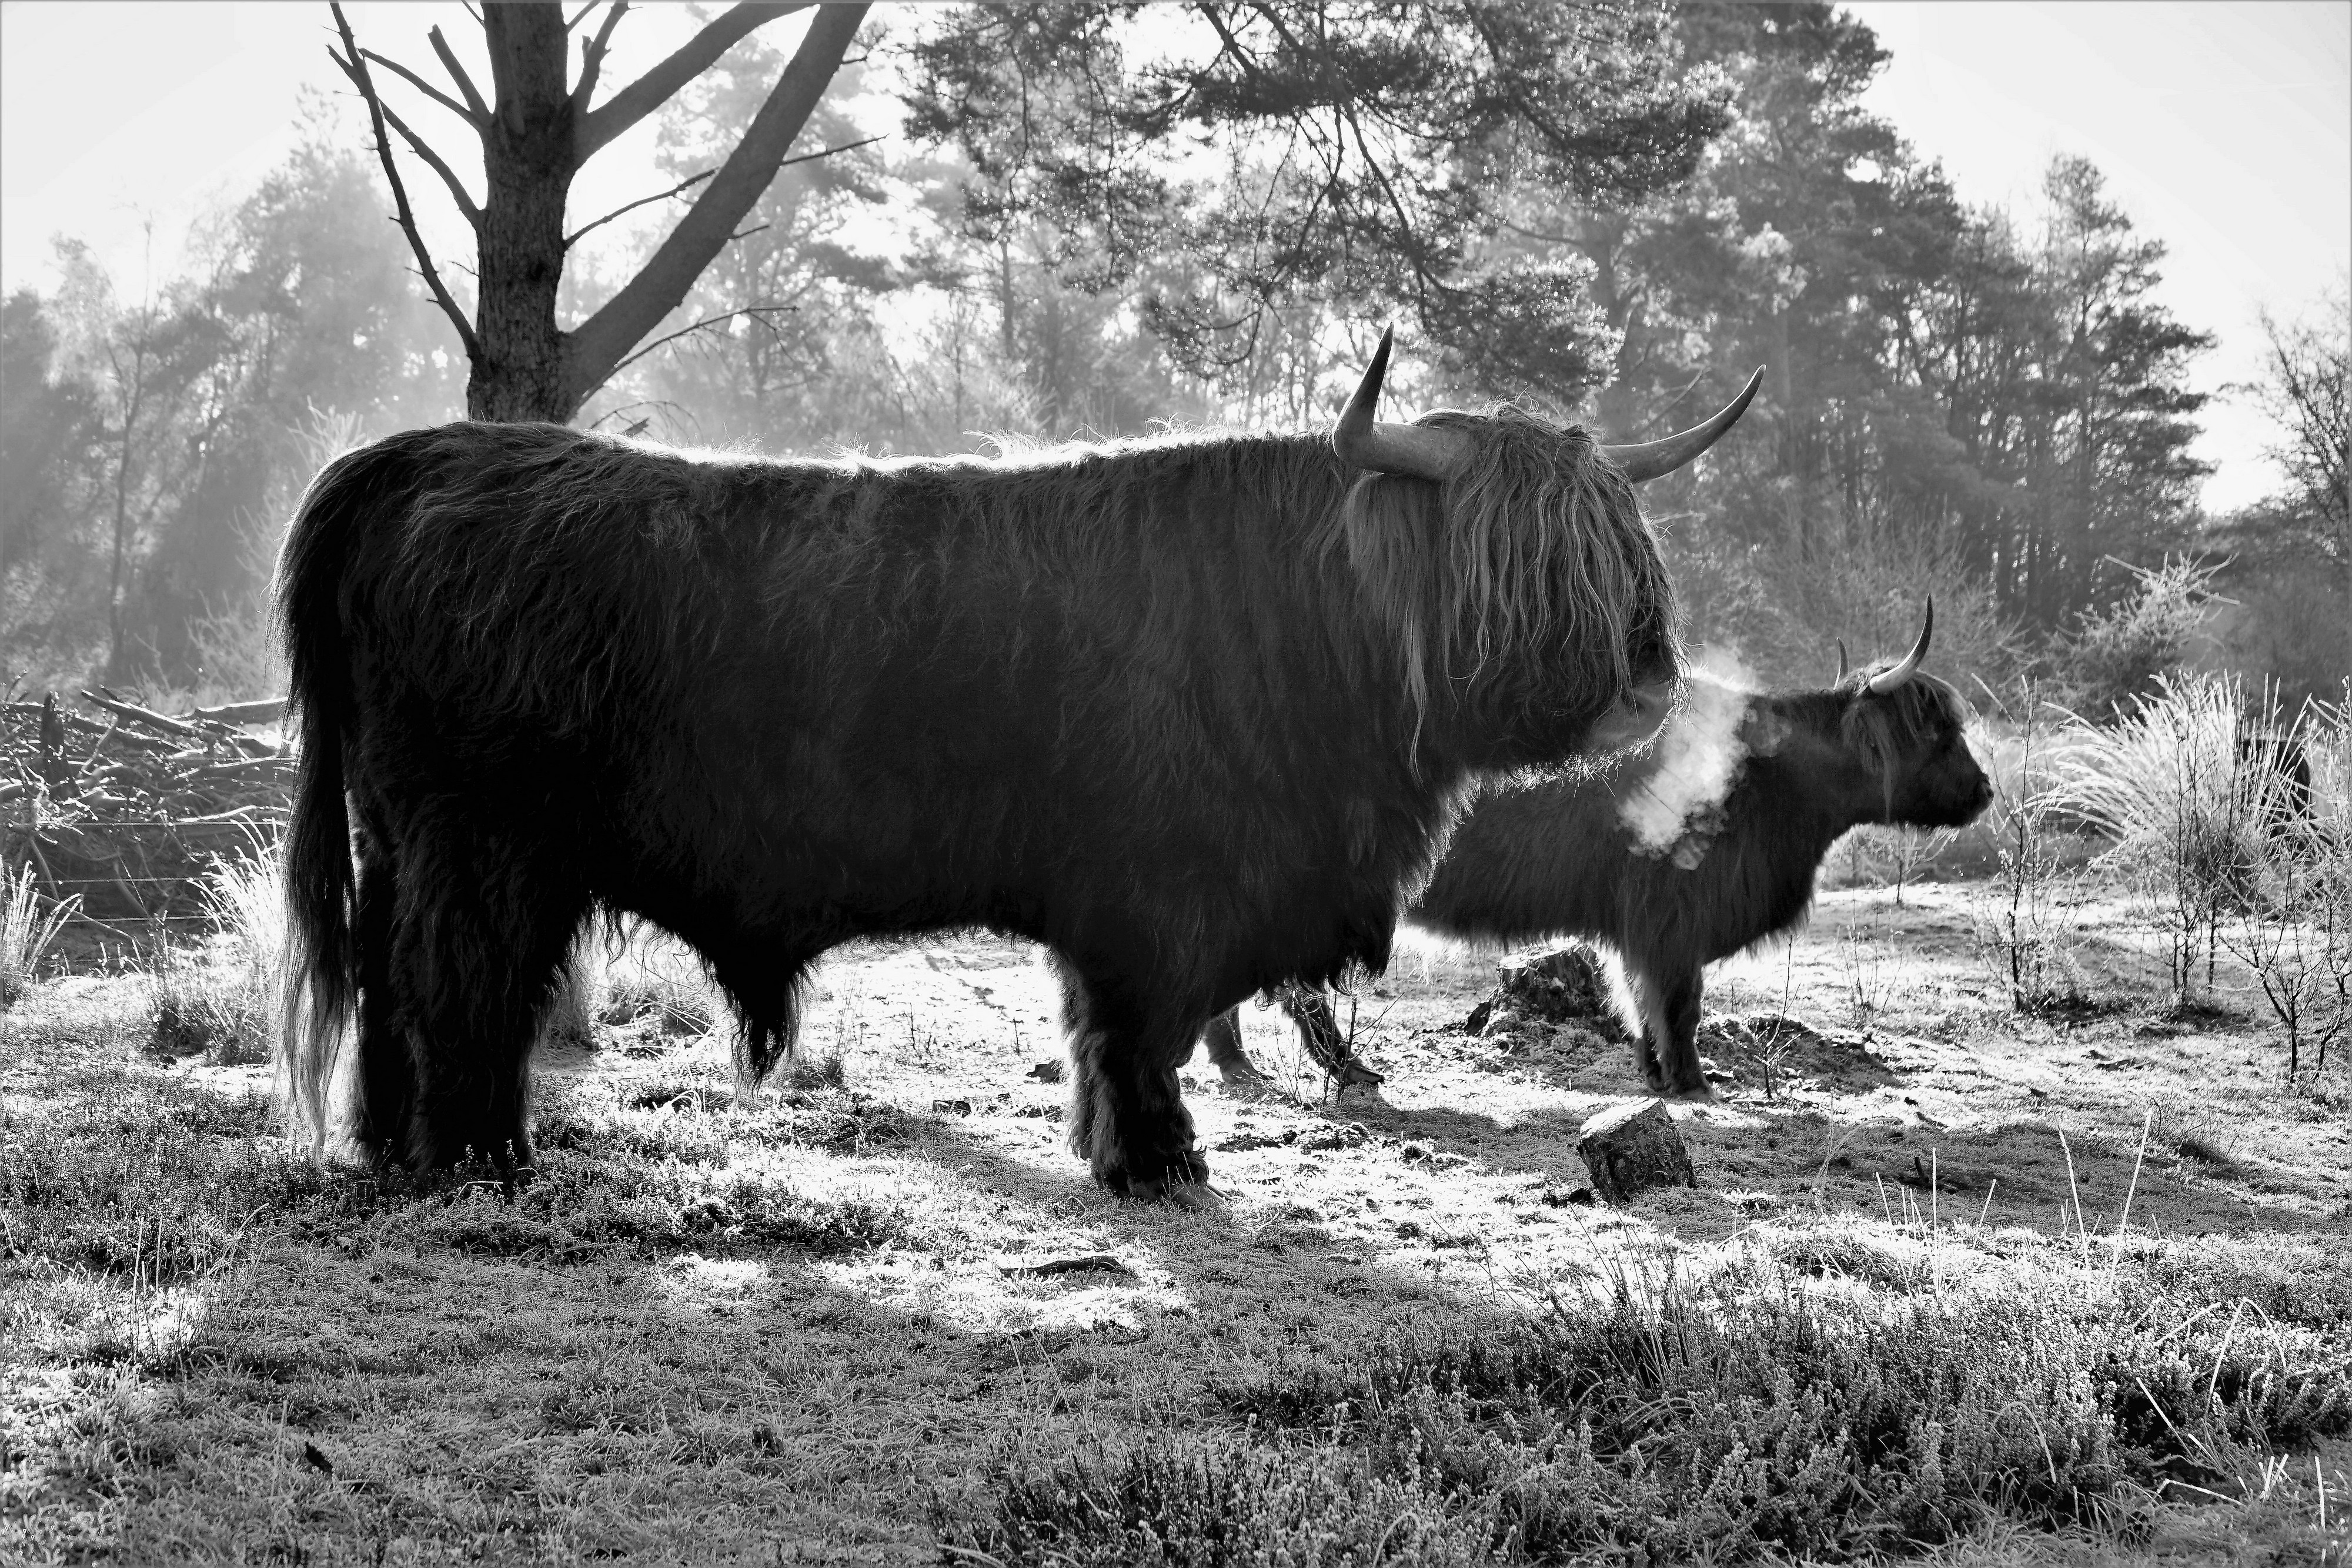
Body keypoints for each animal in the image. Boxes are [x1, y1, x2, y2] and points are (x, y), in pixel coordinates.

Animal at [277, 332, 1758, 1197]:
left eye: (1626, 545)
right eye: (1523, 555)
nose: (1647, 681)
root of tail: (408, 460)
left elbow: (1107, 1036)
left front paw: (1121, 1151)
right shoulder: (1152, 891)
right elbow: (1135, 1031)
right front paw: (1158, 1163)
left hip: (401, 839)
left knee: (396, 985)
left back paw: (390, 1146)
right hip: (479, 845)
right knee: (457, 987)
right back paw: (478, 1156)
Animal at [1203, 603, 1993, 1096]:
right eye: (1937, 731)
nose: (1985, 791)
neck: (1775, 782)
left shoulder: (1639, 927)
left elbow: (1643, 1003)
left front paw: (1658, 1076)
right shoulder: (1670, 919)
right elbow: (1678, 1005)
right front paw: (1693, 1083)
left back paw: (1245, 1067)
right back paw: (1341, 1069)